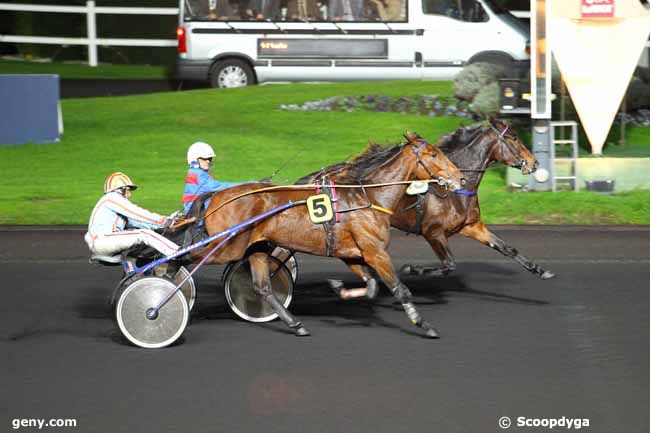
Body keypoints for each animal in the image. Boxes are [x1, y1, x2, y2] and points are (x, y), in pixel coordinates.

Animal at [200, 132, 464, 338]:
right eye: (433, 154)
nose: (460, 177)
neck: (369, 198)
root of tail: (217, 197)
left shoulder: (352, 254)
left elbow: (371, 287)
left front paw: (338, 287)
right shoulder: (376, 253)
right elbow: (400, 290)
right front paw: (425, 325)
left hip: (257, 247)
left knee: (263, 287)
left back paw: (296, 324)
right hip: (225, 246)